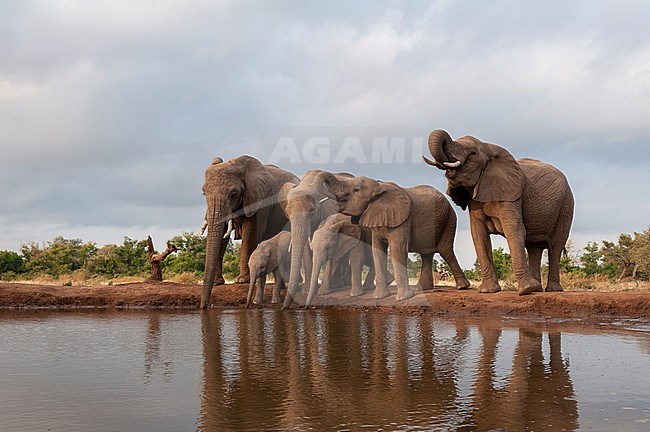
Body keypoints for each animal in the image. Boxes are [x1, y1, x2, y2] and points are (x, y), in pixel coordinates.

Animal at [200, 154, 298, 308]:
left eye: (233, 194)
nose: (204, 307)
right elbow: (221, 237)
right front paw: (217, 283)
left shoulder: (260, 200)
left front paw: (241, 280)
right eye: (204, 193)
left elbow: (250, 234)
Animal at [276, 170, 352, 308]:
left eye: (312, 212)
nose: (284, 308)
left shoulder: (330, 210)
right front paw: (306, 290)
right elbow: (305, 245)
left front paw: (321, 292)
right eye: (288, 213)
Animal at [420, 130, 572, 296]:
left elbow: (514, 230)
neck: (488, 147)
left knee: (555, 246)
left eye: (472, 153)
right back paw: (538, 288)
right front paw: (488, 291)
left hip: (566, 206)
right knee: (533, 248)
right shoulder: (474, 201)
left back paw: (551, 290)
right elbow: (478, 235)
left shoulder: (510, 195)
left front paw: (526, 290)